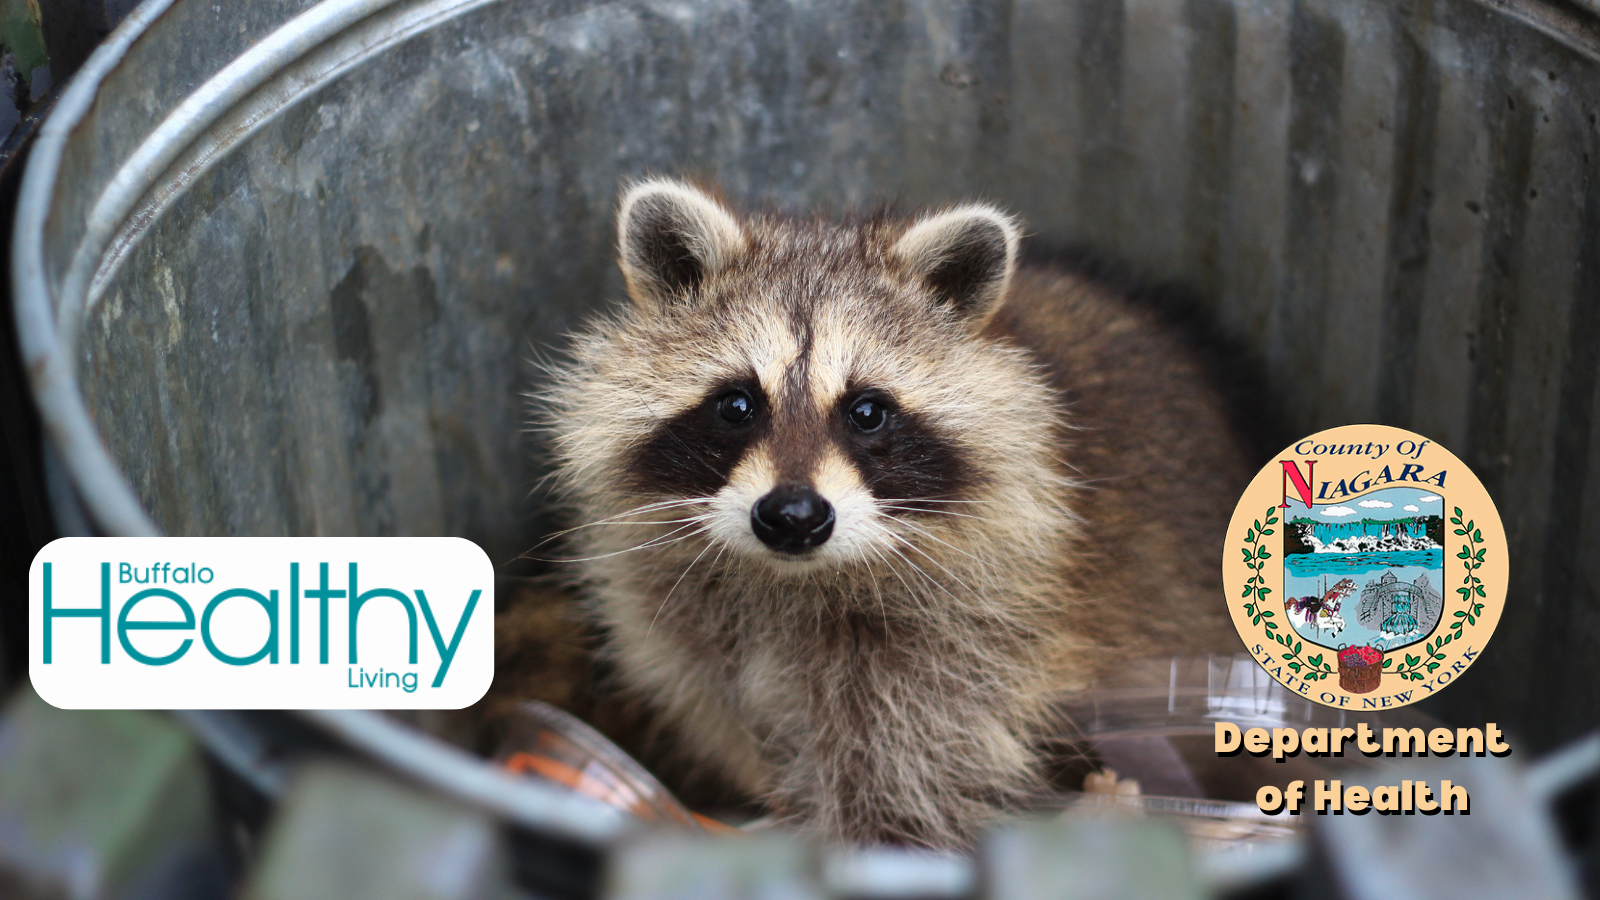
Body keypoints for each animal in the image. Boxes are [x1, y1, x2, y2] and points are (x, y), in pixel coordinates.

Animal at [538, 178, 1252, 848]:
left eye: (867, 411)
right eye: (737, 405)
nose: (793, 515)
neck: (792, 582)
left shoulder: (971, 643)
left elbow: (905, 775)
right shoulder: (686, 625)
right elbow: (728, 712)